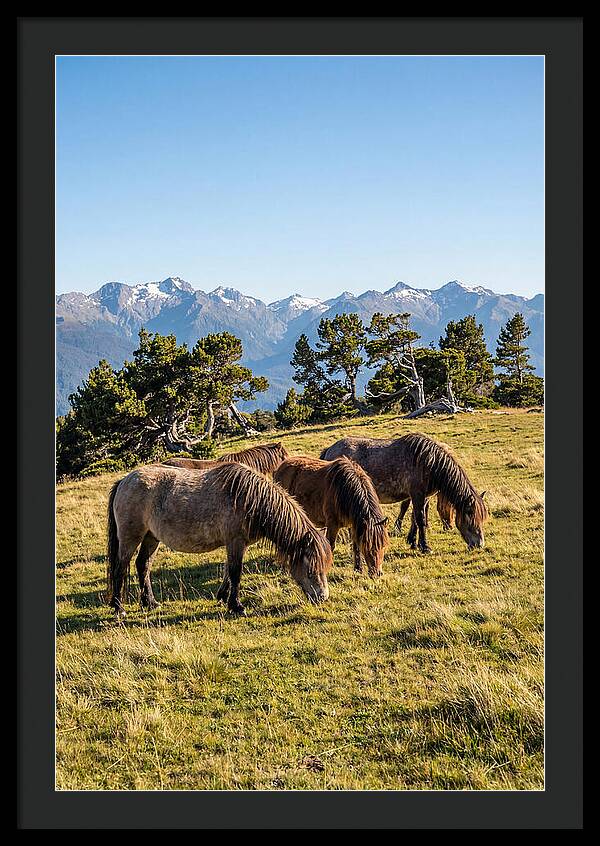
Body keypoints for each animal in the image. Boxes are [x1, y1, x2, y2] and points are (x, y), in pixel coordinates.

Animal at [106, 462, 332, 617]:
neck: (249, 499)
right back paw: (119, 608)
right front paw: (237, 606)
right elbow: (235, 572)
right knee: (120, 567)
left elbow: (227, 571)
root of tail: (124, 481)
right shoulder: (235, 542)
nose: (322, 597)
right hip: (130, 537)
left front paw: (223, 597)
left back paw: (150, 602)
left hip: (151, 538)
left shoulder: (237, 544)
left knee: (143, 565)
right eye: (311, 569)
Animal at [320, 433, 487, 552]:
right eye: (471, 516)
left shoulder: (423, 497)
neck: (428, 461)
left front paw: (413, 542)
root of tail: (329, 449)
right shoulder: (417, 494)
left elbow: (416, 518)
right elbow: (420, 519)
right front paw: (425, 547)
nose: (479, 544)